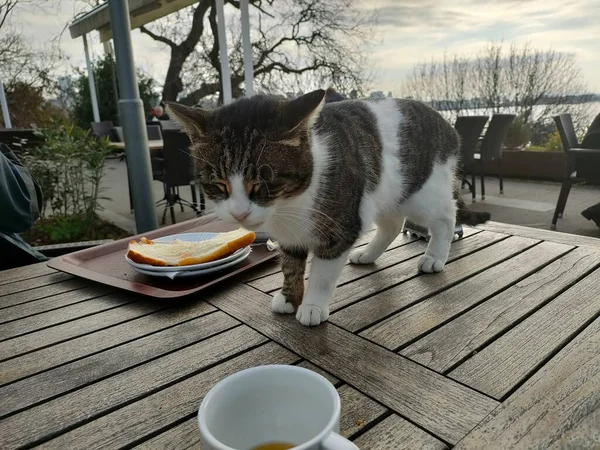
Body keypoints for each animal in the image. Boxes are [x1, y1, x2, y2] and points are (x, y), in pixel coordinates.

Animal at [166, 89, 490, 326]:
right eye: (218, 184)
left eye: (262, 184)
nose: (238, 213)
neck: (287, 206)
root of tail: (445, 124)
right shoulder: (290, 236)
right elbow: (291, 265)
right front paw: (289, 296)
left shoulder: (341, 225)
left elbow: (322, 272)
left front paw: (312, 305)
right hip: (384, 193)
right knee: (392, 223)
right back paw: (368, 254)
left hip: (422, 192)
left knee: (445, 215)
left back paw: (434, 257)